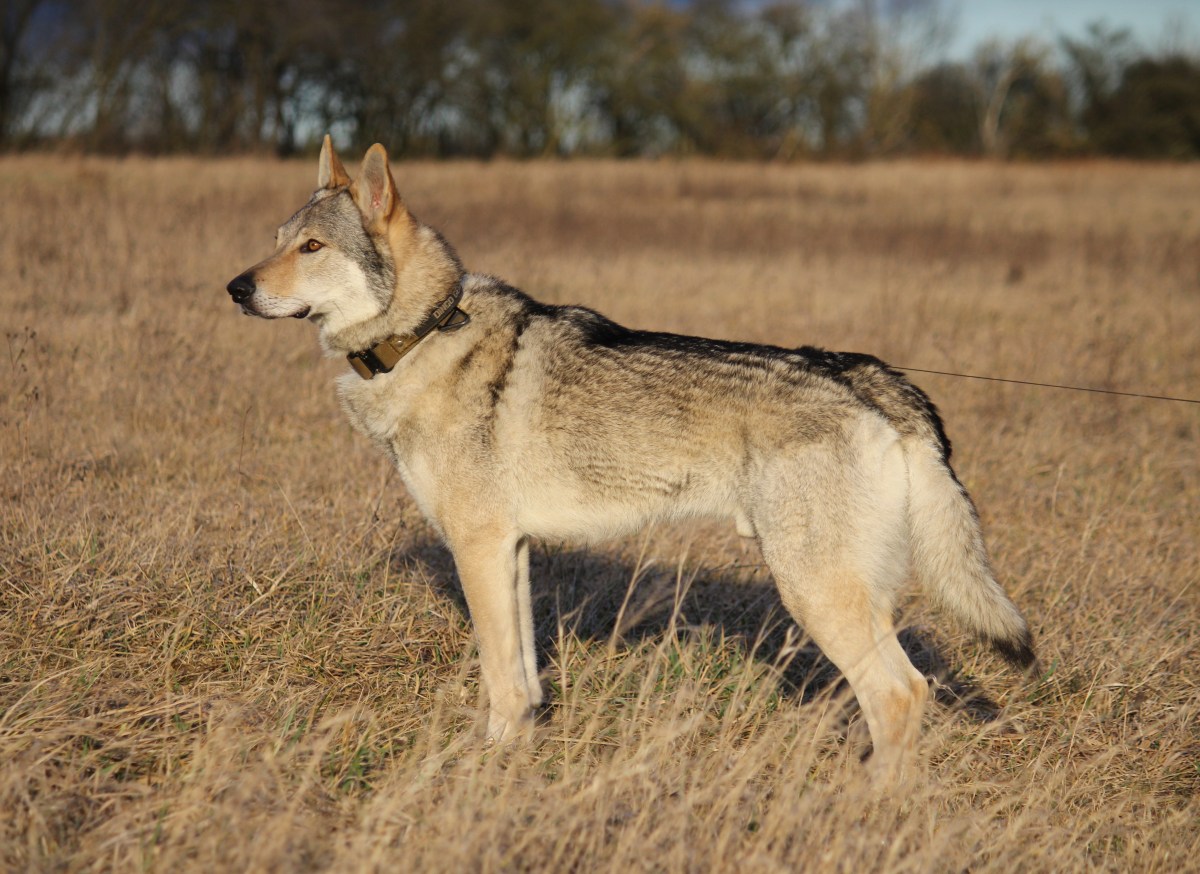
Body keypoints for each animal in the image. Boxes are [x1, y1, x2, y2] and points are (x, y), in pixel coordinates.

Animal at [225, 139, 1032, 773]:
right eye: (275, 238)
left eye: (312, 248)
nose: (235, 287)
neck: (425, 333)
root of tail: (871, 376)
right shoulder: (511, 550)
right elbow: (523, 677)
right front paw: (521, 755)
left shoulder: (478, 547)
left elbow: (498, 678)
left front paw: (487, 765)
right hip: (850, 592)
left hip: (814, 591)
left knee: (901, 694)